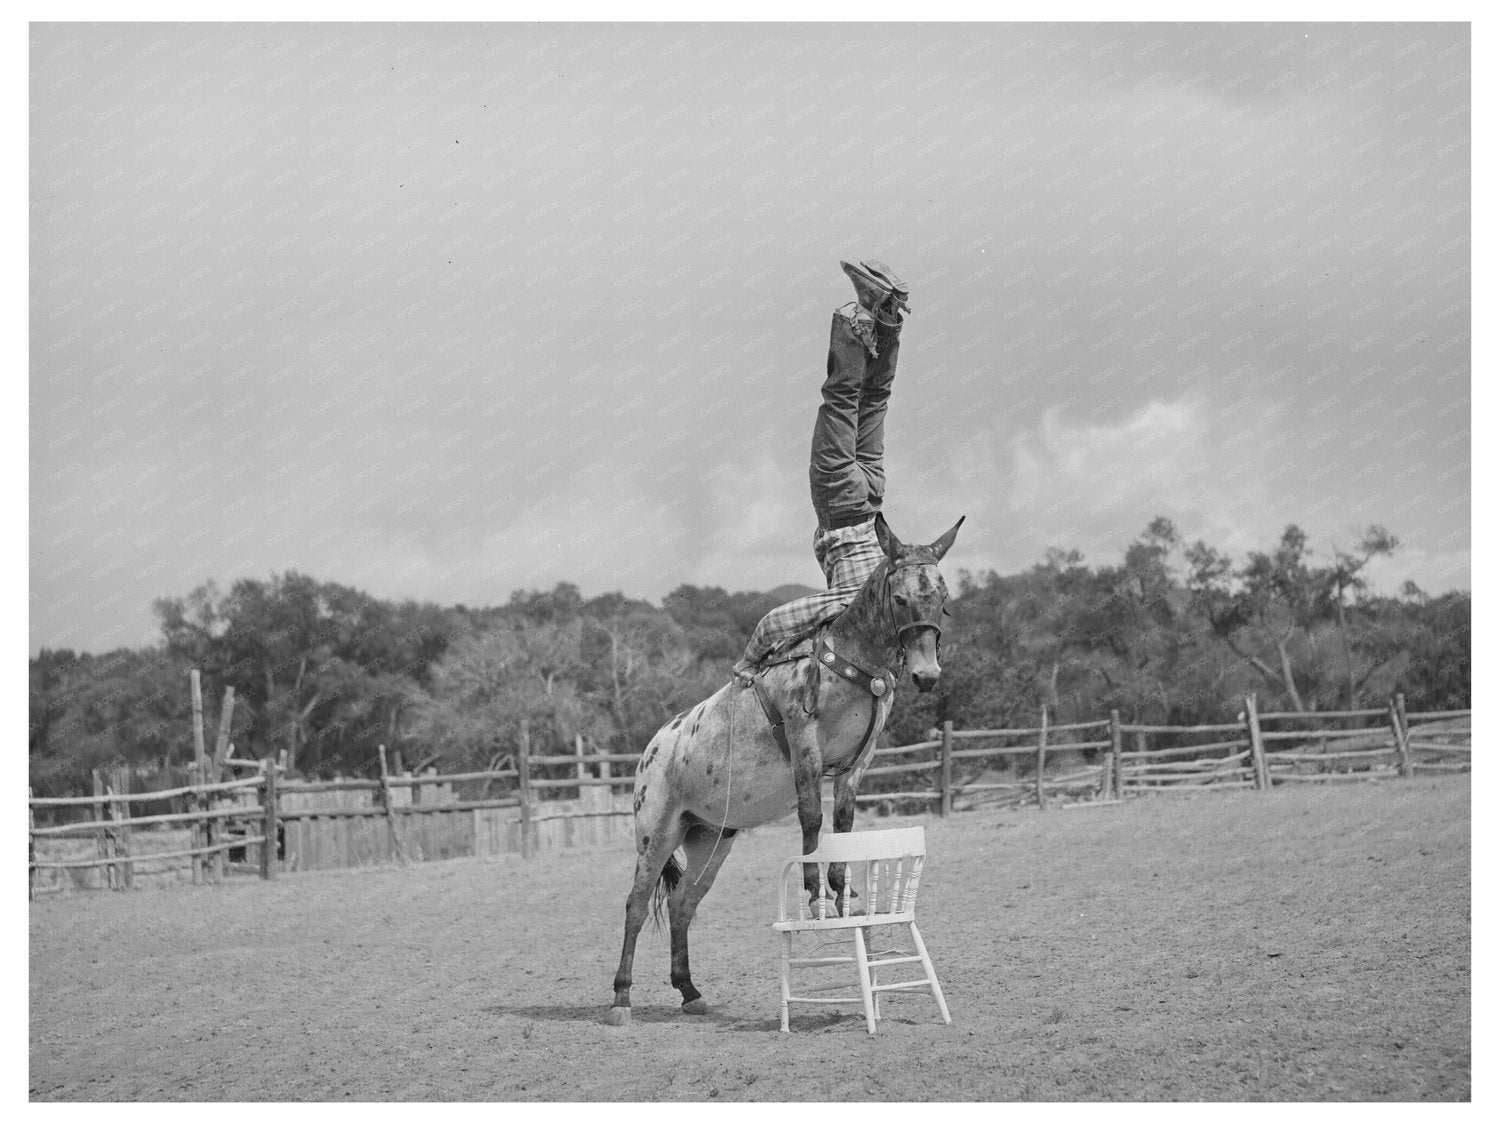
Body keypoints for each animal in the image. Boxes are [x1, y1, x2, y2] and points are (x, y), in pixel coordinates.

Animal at [606, 512, 963, 1025]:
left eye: (942, 595)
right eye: (899, 598)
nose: (927, 675)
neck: (847, 661)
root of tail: (654, 748)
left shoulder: (858, 762)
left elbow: (843, 825)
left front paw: (842, 892)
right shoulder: (804, 743)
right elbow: (812, 819)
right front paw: (816, 896)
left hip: (711, 839)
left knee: (682, 904)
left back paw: (689, 991)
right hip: (657, 833)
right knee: (636, 904)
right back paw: (621, 999)